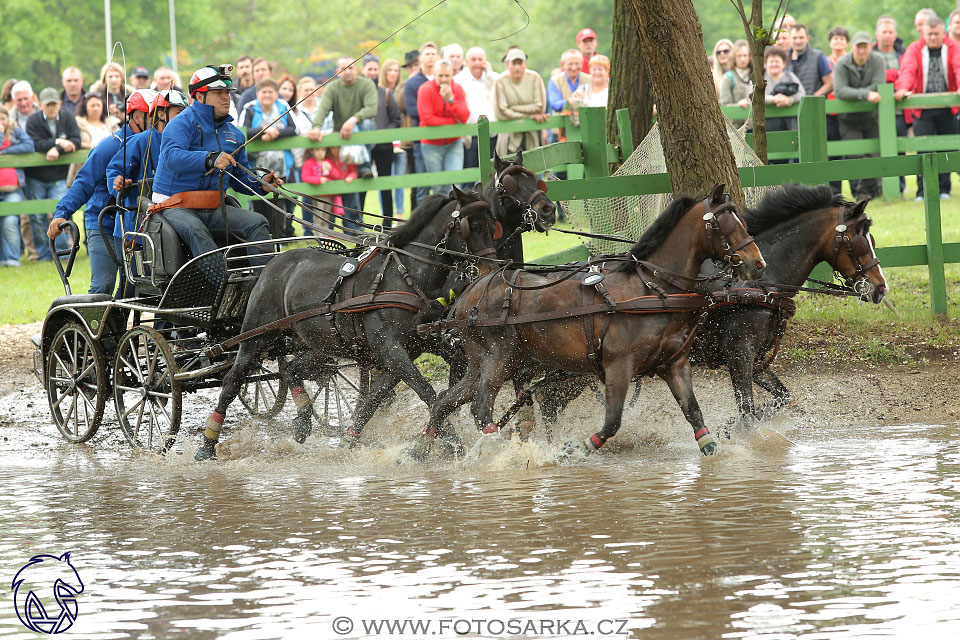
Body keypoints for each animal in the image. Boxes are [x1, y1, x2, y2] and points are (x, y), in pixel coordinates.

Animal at [194, 186, 496, 460]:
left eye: (493, 225)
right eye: (473, 226)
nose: (491, 270)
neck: (403, 276)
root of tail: (270, 264)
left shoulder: (410, 347)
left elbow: (375, 398)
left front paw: (350, 439)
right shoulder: (390, 350)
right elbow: (426, 390)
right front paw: (450, 441)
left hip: (322, 345)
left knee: (291, 369)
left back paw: (303, 420)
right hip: (255, 337)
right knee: (232, 382)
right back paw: (208, 444)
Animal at [410, 186, 764, 460]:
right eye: (725, 224)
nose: (757, 263)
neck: (650, 287)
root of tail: (469, 294)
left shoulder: (674, 364)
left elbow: (694, 414)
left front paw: (714, 450)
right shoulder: (619, 365)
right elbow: (611, 422)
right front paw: (574, 450)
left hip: (485, 362)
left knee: (445, 401)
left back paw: (418, 451)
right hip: (498, 359)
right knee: (481, 407)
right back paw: (498, 450)